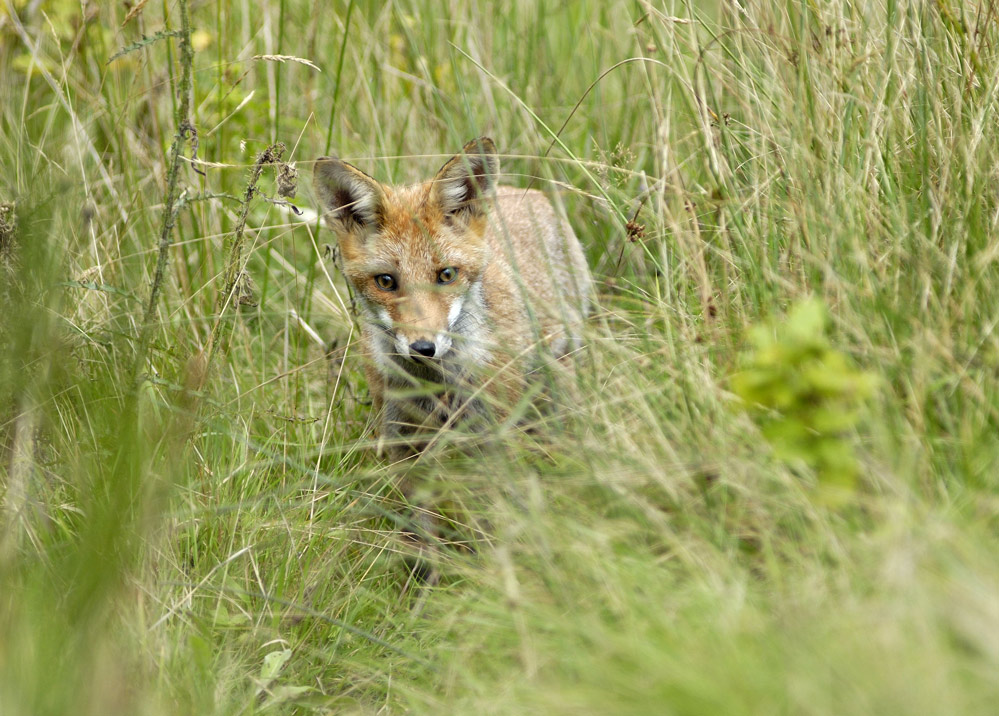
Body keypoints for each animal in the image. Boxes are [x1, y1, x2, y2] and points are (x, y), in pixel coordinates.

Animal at [314, 137, 592, 456]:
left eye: (446, 275)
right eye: (385, 281)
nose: (423, 348)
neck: (434, 384)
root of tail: (529, 192)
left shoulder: (495, 431)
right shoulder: (397, 435)